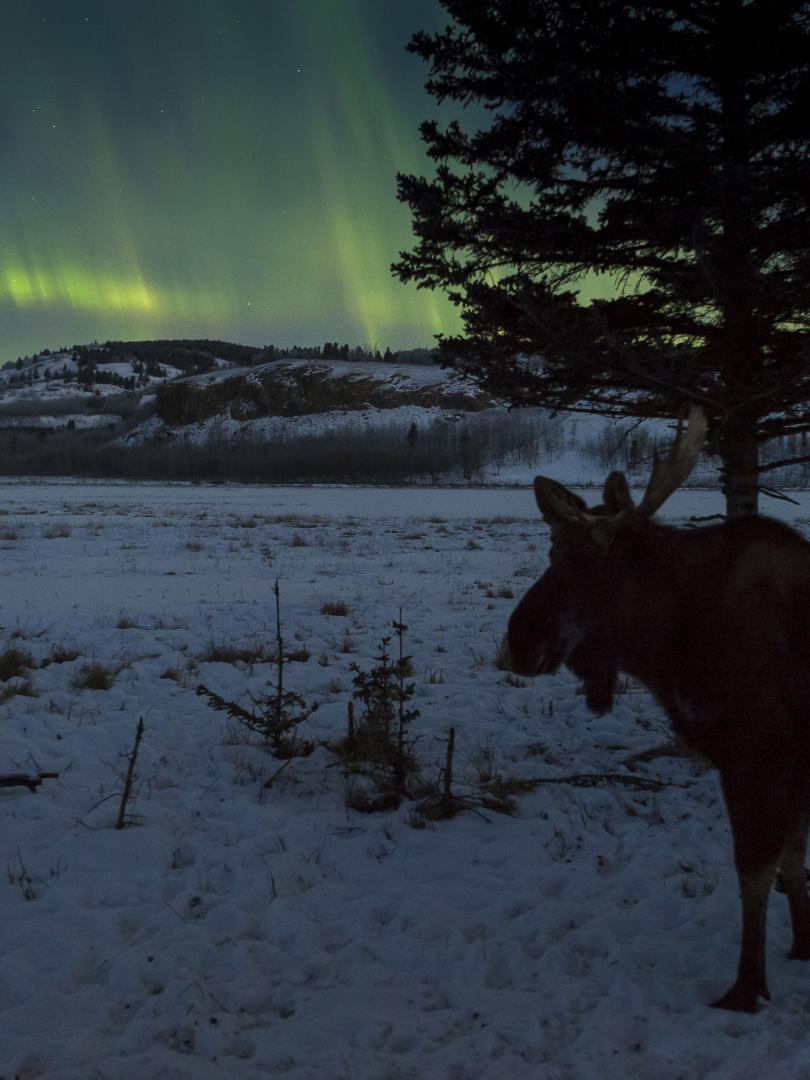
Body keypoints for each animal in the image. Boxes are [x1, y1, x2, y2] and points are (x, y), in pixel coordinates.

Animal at [506, 406, 810, 1012]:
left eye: (590, 563)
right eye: (552, 553)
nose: (517, 640)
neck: (670, 648)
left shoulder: (757, 750)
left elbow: (755, 869)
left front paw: (747, 986)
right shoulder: (796, 763)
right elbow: (793, 858)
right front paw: (805, 947)